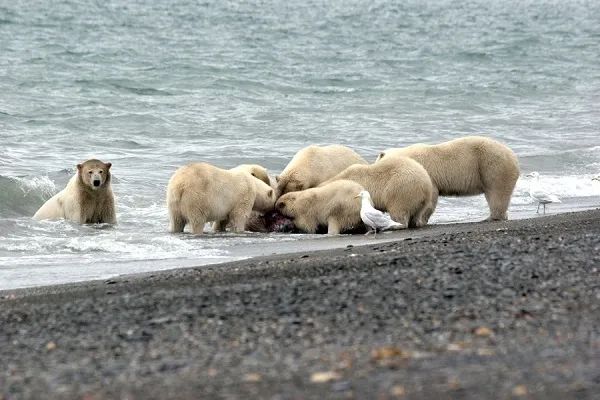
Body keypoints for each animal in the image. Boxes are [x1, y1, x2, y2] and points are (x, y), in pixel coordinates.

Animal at [376, 136, 520, 220]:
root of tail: (513, 156)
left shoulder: (427, 173)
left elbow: (431, 195)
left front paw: (422, 219)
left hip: (492, 165)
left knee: (497, 192)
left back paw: (492, 217)